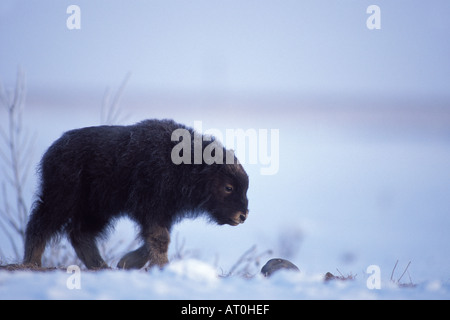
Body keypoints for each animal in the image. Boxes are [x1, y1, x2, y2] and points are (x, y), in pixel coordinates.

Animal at [23, 119, 250, 268]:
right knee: (41, 225)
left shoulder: (163, 213)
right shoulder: (152, 209)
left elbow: (154, 240)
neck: (187, 165)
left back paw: (100, 266)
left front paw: (126, 262)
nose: (243, 215)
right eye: (228, 187)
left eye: (245, 186)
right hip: (62, 199)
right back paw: (32, 262)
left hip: (97, 210)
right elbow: (160, 239)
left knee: (79, 234)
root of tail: (54, 149)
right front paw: (162, 266)